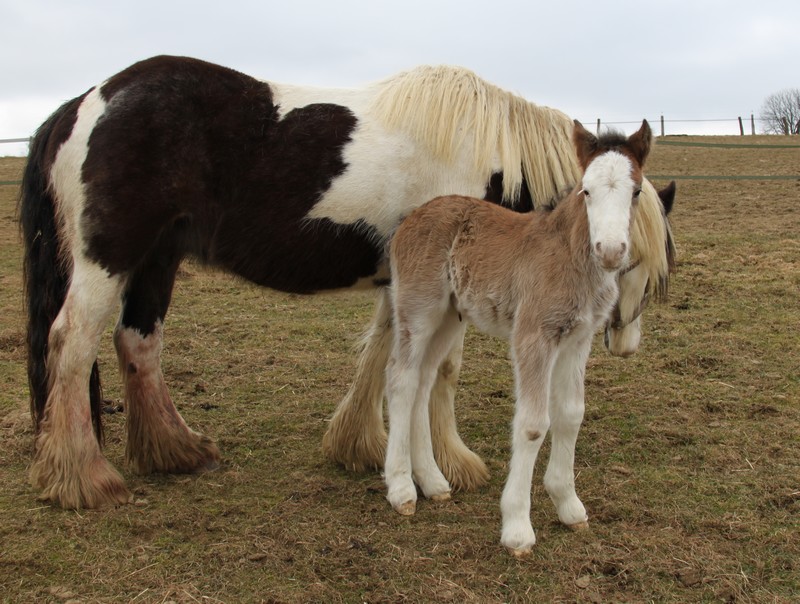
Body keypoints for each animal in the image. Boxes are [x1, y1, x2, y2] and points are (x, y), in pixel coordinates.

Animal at [18, 57, 676, 510]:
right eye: (637, 260)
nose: (625, 343)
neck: (486, 154)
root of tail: (85, 102)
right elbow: (440, 371)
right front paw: (451, 465)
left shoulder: (406, 284)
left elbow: (387, 357)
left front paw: (359, 446)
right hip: (109, 258)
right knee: (71, 343)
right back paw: (84, 479)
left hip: (157, 258)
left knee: (137, 342)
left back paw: (175, 451)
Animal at [386, 119, 656, 556]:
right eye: (585, 190)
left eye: (636, 191)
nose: (611, 251)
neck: (571, 258)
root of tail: (410, 218)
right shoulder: (534, 336)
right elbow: (532, 424)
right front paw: (517, 528)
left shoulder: (578, 339)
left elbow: (571, 415)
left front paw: (569, 506)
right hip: (419, 308)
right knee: (401, 379)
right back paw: (401, 489)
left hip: (450, 317)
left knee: (423, 383)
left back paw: (433, 482)